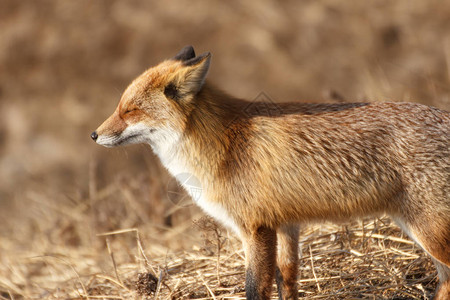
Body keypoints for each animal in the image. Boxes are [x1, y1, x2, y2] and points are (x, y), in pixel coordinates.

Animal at [92, 45, 450, 298]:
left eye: (130, 111)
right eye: (119, 107)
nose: (94, 135)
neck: (225, 145)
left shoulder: (256, 228)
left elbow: (254, 288)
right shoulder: (287, 225)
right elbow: (287, 283)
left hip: (429, 232)